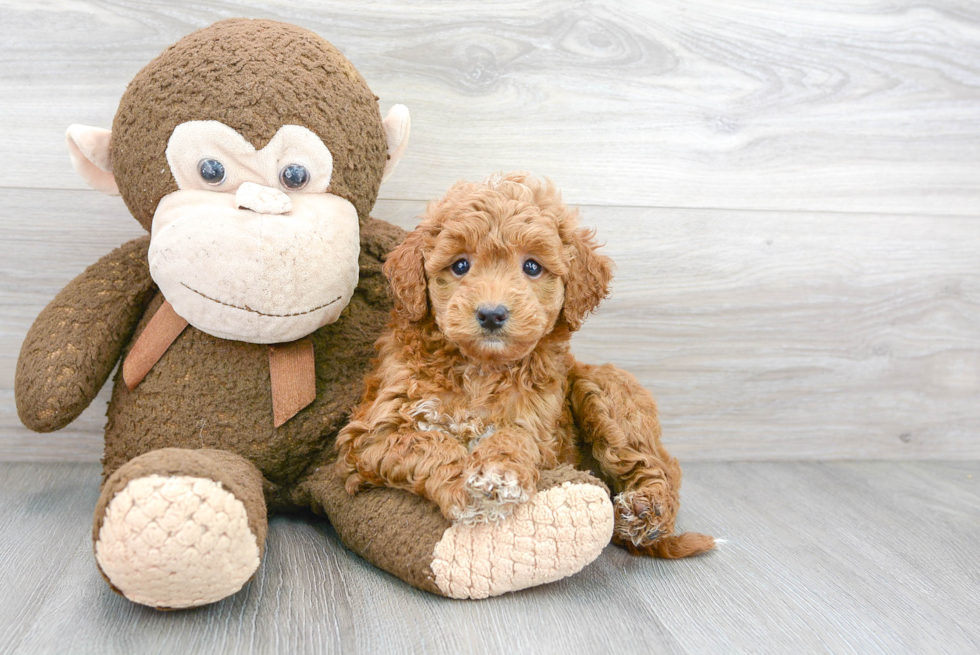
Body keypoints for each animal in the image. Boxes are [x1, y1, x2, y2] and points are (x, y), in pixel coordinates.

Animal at [340, 170, 716, 560]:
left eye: (532, 266)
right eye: (460, 265)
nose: (491, 314)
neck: (480, 370)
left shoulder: (539, 428)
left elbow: (514, 437)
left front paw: (497, 473)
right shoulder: (374, 432)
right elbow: (430, 442)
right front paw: (468, 484)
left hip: (605, 391)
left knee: (658, 467)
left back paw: (646, 512)